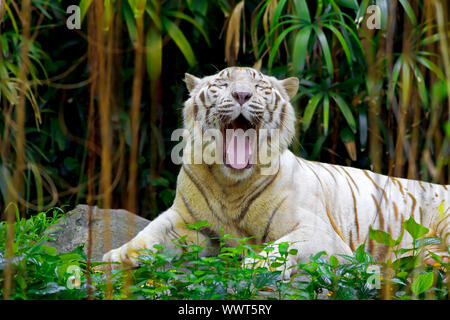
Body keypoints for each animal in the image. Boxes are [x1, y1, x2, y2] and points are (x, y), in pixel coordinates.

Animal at [103, 65, 450, 278]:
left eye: (259, 86)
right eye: (223, 84)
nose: (242, 95)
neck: (231, 185)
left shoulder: (320, 232)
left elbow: (283, 245)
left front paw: (254, 266)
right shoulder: (184, 220)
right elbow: (148, 235)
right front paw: (114, 258)